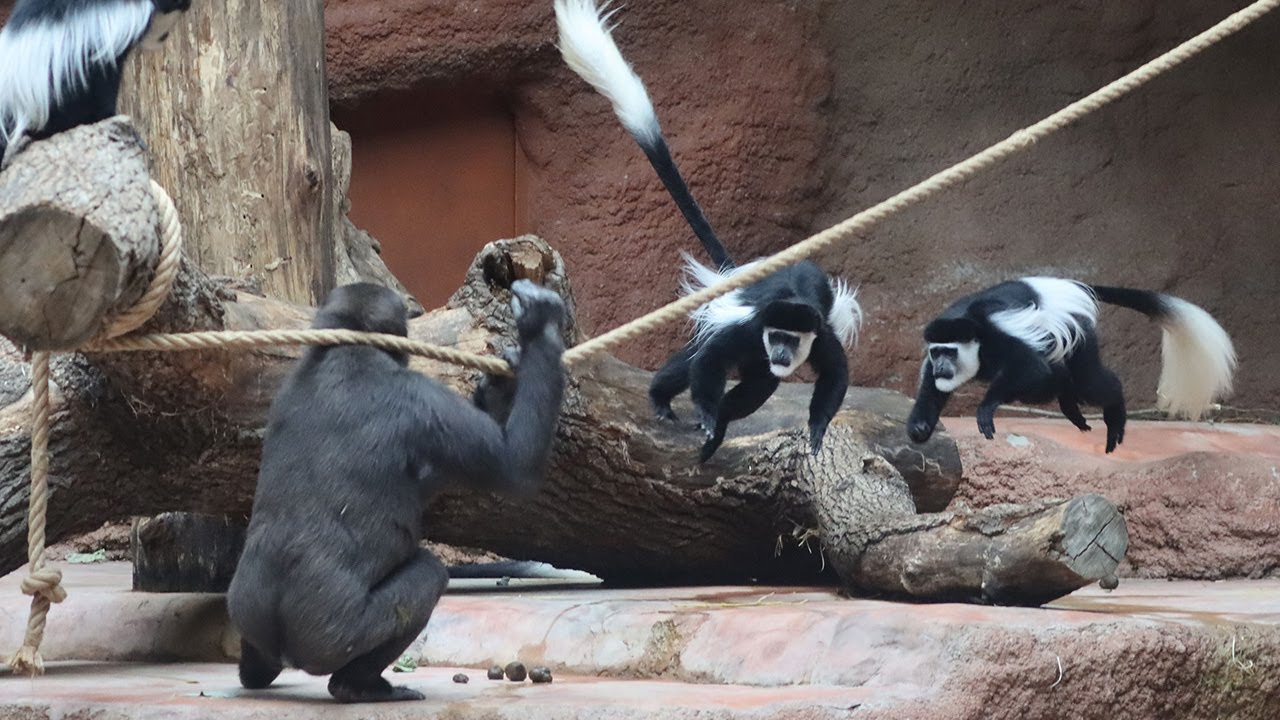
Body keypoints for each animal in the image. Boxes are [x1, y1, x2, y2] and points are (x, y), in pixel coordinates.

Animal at [226, 280, 567, 703]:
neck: (348, 347)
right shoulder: (421, 396)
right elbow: (514, 466)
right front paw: (541, 326)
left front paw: (496, 390)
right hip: (331, 636)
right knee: (428, 575)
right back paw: (358, 685)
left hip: (243, 608)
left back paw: (256, 669)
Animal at [553, 0, 862, 462]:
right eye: (778, 335)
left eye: (791, 339)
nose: (781, 351)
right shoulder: (750, 327)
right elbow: (709, 358)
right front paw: (705, 413)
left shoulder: (818, 334)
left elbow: (836, 375)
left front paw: (817, 428)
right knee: (699, 358)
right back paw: (666, 401)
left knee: (762, 380)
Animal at [905, 277, 1237, 453]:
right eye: (936, 353)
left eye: (950, 353)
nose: (941, 367)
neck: (974, 334)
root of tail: (1071, 285)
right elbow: (932, 388)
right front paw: (919, 426)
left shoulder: (999, 336)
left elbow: (1031, 367)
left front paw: (985, 409)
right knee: (1055, 378)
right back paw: (1070, 407)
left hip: (1079, 331)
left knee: (1089, 380)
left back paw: (1114, 415)